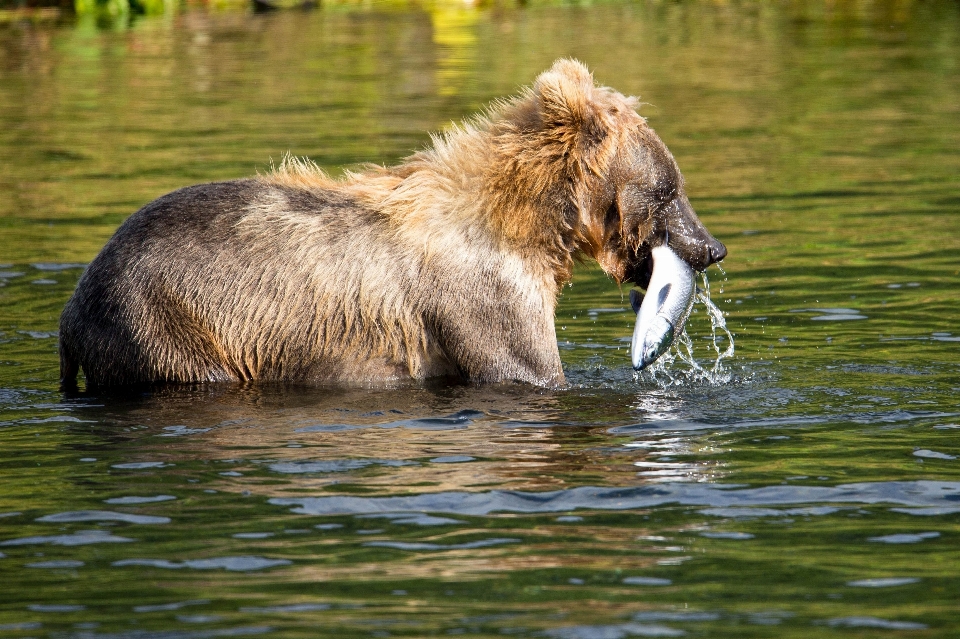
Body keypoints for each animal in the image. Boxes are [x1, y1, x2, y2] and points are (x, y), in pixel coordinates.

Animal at [58, 60, 720, 390]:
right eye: (670, 188)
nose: (712, 247)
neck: (531, 226)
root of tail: (71, 309)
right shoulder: (483, 295)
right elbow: (527, 371)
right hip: (166, 323)